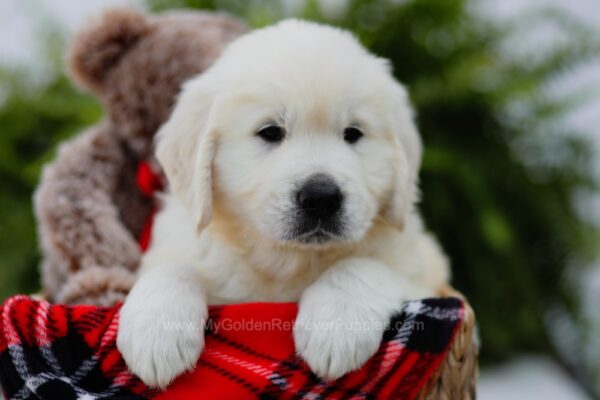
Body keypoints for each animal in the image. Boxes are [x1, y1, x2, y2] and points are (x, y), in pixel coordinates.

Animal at [117, 18, 448, 388]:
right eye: (270, 132)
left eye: (353, 133)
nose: (321, 198)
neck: (286, 260)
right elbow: (171, 268)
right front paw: (155, 334)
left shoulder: (422, 272)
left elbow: (362, 266)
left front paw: (336, 325)